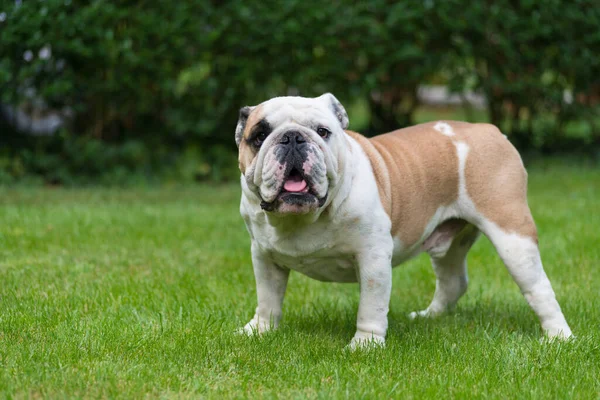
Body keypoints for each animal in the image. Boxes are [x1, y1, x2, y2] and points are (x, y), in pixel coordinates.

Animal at [233, 93, 572, 346]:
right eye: (259, 135)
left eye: (322, 132)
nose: (292, 137)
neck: (303, 217)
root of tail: (489, 129)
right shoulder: (263, 256)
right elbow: (268, 298)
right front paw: (259, 331)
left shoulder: (373, 259)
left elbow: (371, 306)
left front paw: (365, 345)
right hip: (451, 244)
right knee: (453, 281)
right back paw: (429, 317)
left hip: (512, 234)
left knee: (538, 287)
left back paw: (558, 336)